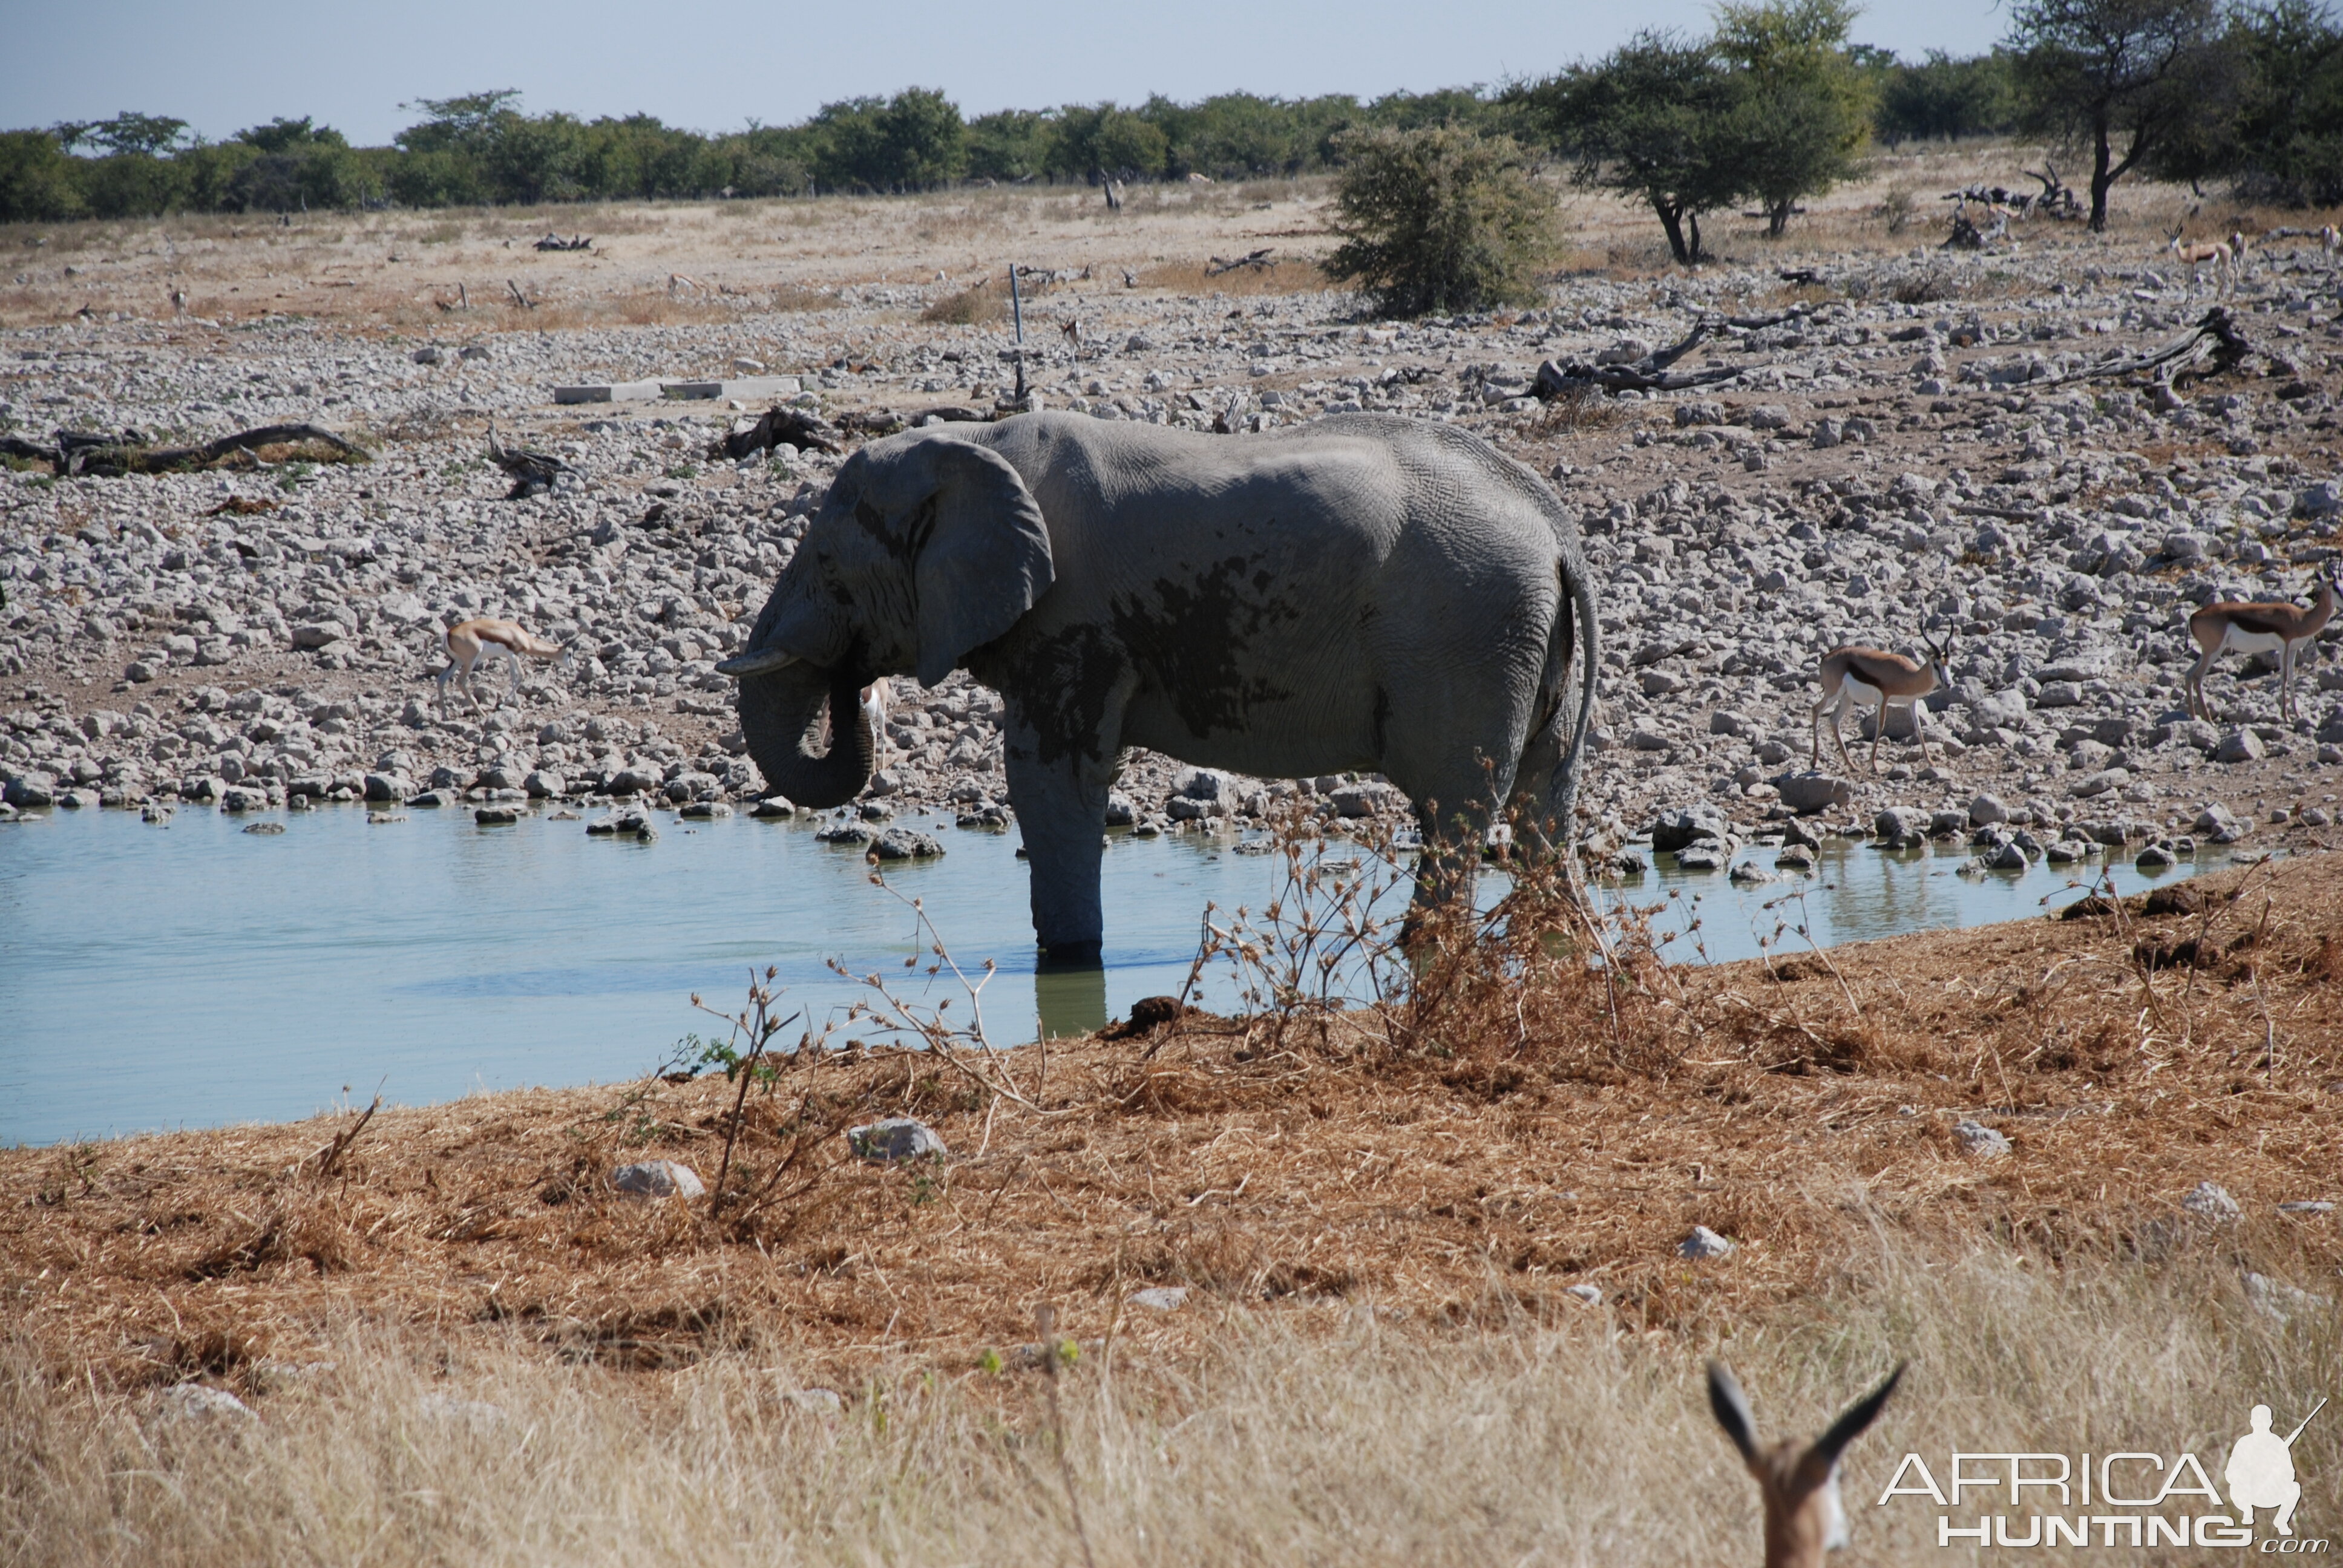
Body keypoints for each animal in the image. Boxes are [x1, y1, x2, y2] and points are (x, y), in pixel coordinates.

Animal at [712, 410, 1593, 961]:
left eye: (828, 566)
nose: (855, 685)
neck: (973, 442)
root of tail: (1556, 527)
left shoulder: (1070, 623)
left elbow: (1050, 780)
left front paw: (1069, 960)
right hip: (1519, 643)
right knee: (1542, 799)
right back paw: (1560, 943)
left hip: (1465, 634)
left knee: (1455, 805)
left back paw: (1424, 949)